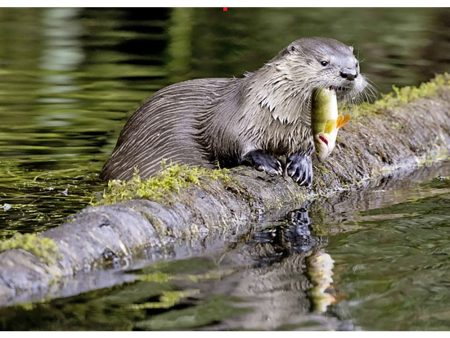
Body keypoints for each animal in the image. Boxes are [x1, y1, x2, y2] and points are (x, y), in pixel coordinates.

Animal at [100, 38, 368, 186]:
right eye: (324, 62)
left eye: (356, 63)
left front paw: (302, 163)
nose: (350, 74)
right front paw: (265, 160)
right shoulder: (234, 118)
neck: (280, 119)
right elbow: (230, 142)